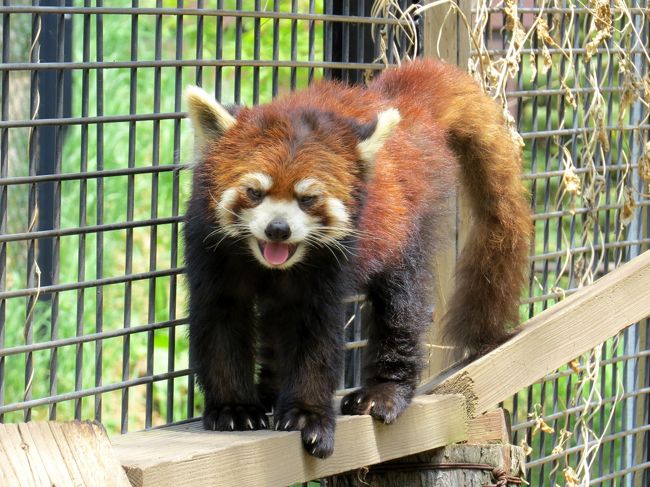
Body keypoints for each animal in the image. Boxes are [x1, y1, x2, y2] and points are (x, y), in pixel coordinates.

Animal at [184, 59, 532, 460]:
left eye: (308, 199)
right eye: (255, 192)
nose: (278, 229)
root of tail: (403, 105)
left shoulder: (329, 267)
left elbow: (315, 336)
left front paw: (307, 415)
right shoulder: (211, 254)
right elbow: (221, 324)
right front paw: (234, 408)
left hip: (404, 226)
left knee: (401, 306)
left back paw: (383, 392)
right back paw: (271, 389)